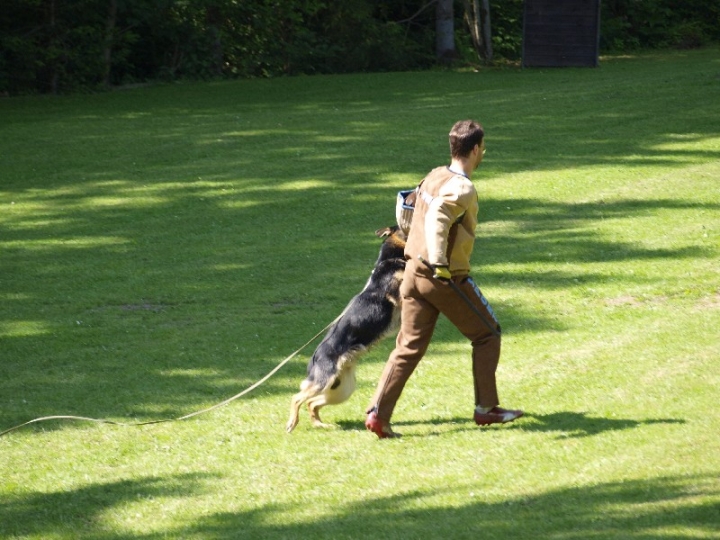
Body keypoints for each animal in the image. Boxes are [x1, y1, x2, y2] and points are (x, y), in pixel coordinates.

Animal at [286, 226, 410, 432]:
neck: (388, 260)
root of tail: (314, 358)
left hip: (342, 390)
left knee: (312, 403)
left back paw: (320, 424)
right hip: (324, 382)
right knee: (297, 398)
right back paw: (292, 423)